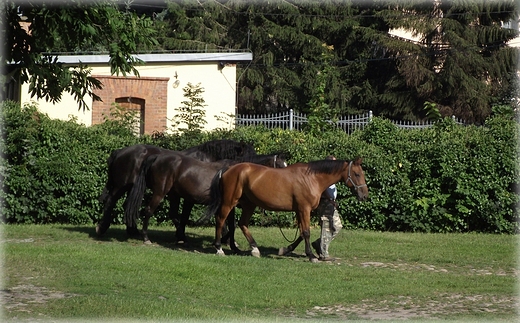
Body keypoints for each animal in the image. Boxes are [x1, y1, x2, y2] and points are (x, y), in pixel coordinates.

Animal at [96, 140, 258, 237]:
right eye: (248, 159)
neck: (208, 159)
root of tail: (119, 152)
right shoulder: (191, 198)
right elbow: (185, 216)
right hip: (121, 185)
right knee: (110, 201)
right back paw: (102, 227)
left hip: (131, 187)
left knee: (127, 205)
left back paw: (132, 230)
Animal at [126, 151, 288, 244]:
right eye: (281, 166)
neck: (240, 172)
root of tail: (156, 157)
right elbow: (230, 224)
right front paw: (224, 241)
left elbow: (231, 225)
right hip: (160, 192)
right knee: (149, 210)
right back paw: (147, 238)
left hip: (174, 195)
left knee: (173, 214)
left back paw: (181, 236)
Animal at [205, 159, 368, 264]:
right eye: (357, 174)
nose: (365, 195)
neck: (311, 179)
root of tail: (228, 169)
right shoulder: (304, 209)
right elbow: (306, 232)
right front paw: (312, 256)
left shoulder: (300, 211)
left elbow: (302, 233)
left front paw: (286, 249)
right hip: (229, 202)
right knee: (220, 220)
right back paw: (219, 249)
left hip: (249, 204)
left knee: (242, 223)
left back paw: (255, 250)